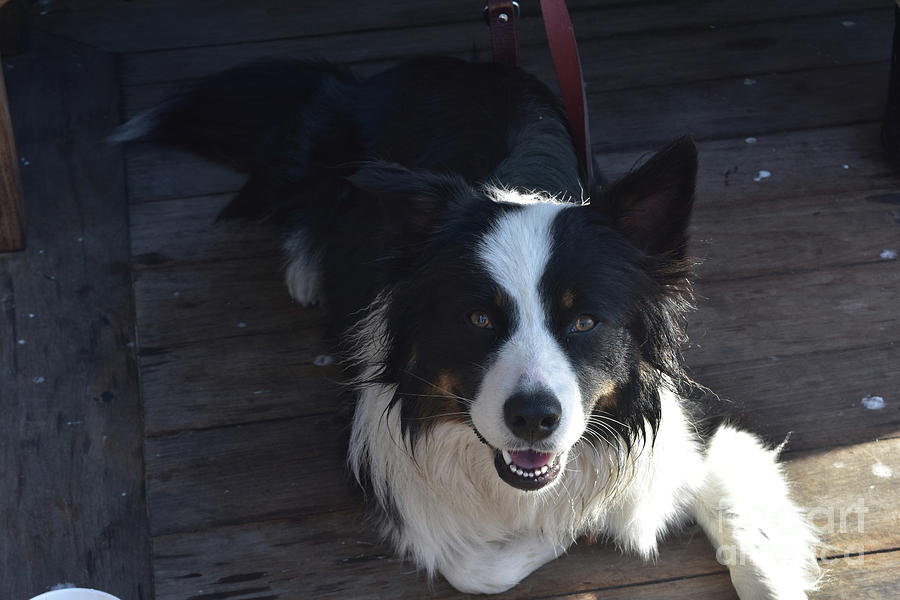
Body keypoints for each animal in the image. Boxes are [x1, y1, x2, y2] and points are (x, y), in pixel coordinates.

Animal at [118, 56, 824, 596]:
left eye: (585, 320)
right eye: (479, 318)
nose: (533, 418)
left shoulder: (691, 430)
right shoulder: (379, 454)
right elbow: (479, 563)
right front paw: (578, 526)